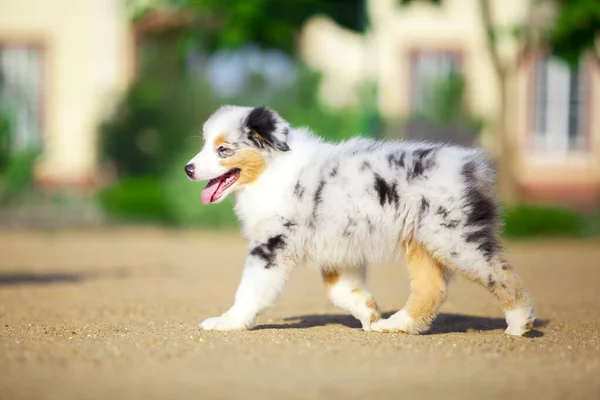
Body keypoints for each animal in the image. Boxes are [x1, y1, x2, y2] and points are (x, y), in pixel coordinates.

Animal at [185, 104, 536, 336]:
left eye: (223, 149)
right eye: (203, 144)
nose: (188, 169)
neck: (272, 170)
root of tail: (472, 166)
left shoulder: (272, 245)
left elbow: (250, 289)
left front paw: (227, 322)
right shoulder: (337, 247)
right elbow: (340, 290)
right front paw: (369, 314)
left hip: (455, 240)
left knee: (501, 273)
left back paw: (519, 324)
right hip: (423, 241)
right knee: (432, 289)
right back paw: (394, 325)